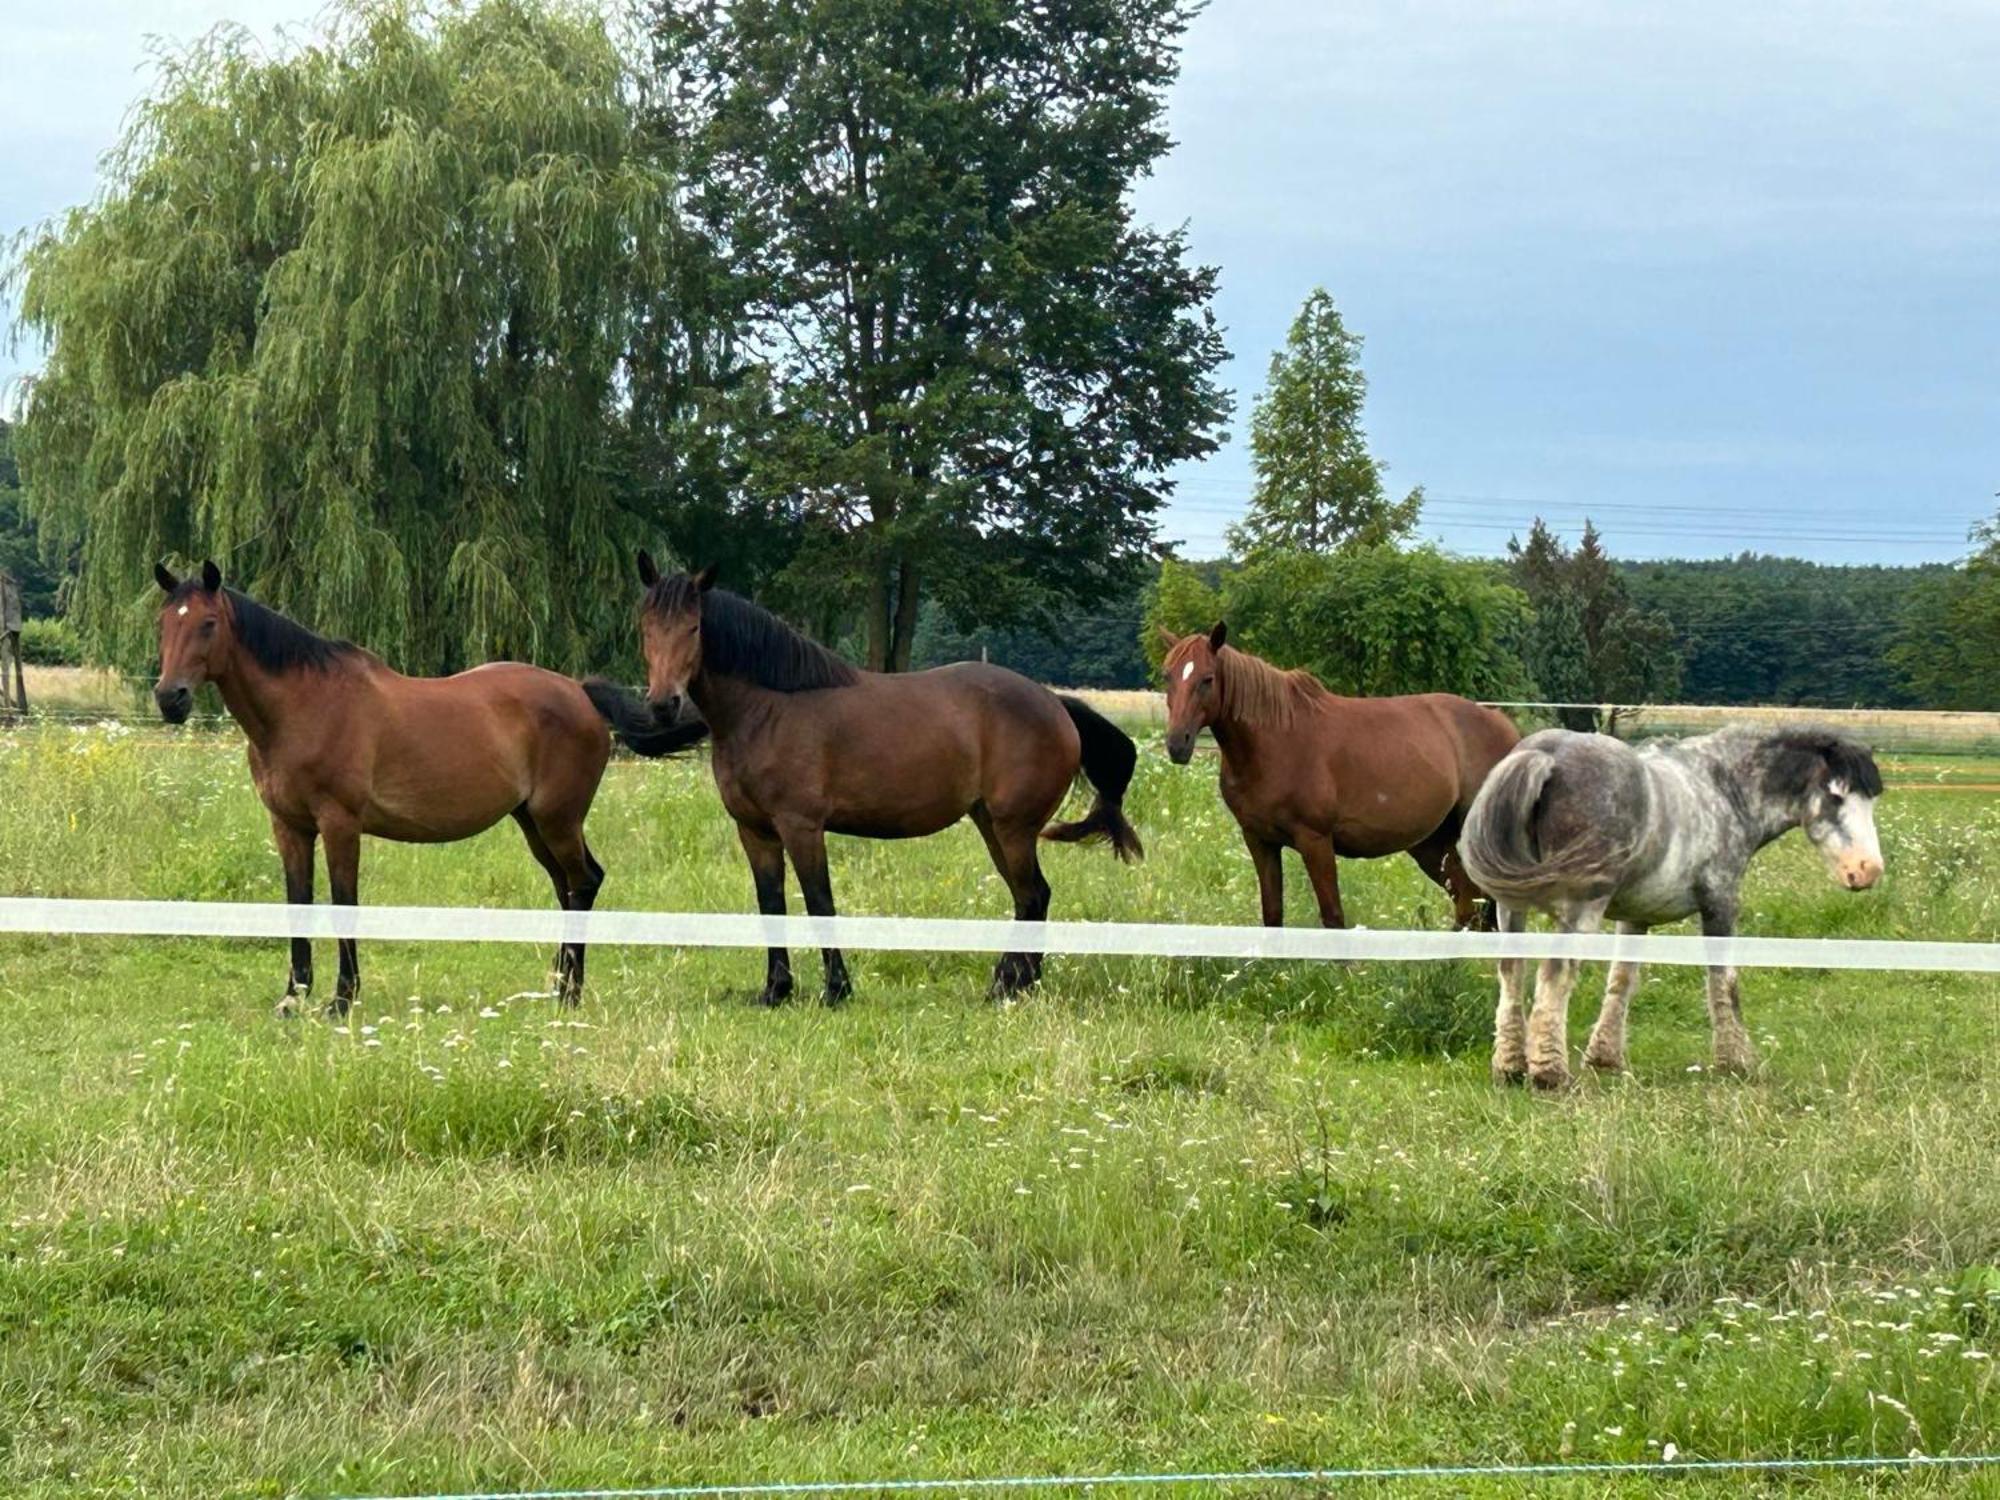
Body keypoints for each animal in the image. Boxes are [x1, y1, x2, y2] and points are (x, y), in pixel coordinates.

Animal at [146, 568, 704, 1024]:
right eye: (163, 623)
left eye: (208, 623)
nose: (170, 698)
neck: (304, 707)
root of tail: (579, 692)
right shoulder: (289, 826)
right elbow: (296, 903)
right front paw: (292, 999)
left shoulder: (340, 823)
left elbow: (343, 901)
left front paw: (341, 1001)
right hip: (533, 822)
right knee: (570, 886)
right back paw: (557, 985)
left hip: (557, 819)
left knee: (582, 882)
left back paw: (570, 995)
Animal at [596, 560, 1144, 1004]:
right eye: (646, 627)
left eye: (693, 627)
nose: (662, 705)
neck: (768, 709)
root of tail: (1055, 704)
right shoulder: (755, 831)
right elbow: (771, 904)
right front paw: (776, 991)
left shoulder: (801, 826)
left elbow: (820, 902)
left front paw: (836, 990)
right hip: (992, 824)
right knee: (1033, 897)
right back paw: (1018, 984)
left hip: (1013, 827)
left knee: (1031, 897)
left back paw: (1007, 987)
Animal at [1160, 624, 1512, 928]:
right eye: (1167, 676)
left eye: (1207, 679)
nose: (1178, 743)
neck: (1275, 742)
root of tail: (1500, 722)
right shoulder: (1259, 840)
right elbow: (1272, 914)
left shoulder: (1315, 840)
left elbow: (1333, 917)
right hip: (1433, 843)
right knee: (1470, 906)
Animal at [1464, 728, 1880, 1096]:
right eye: (1836, 797)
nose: (1868, 870)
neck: (1722, 789)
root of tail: (1548, 754)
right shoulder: (1720, 904)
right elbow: (1723, 984)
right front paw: (1736, 1061)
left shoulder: (1636, 917)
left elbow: (1621, 980)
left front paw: (1605, 1058)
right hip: (1580, 909)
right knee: (1554, 976)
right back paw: (1550, 1074)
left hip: (1511, 909)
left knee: (1511, 974)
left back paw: (1511, 1068)